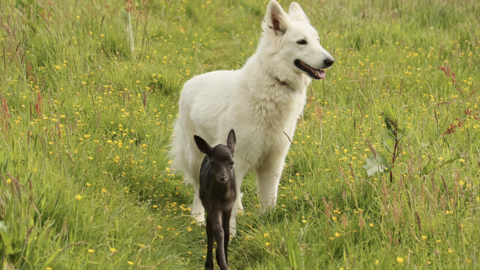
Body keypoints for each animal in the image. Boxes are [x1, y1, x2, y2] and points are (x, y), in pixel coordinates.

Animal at [170, 0, 334, 234]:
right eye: (302, 42)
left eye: (317, 40)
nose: (330, 61)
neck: (274, 82)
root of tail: (191, 81)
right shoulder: (237, 160)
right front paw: (230, 234)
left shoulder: (273, 163)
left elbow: (269, 201)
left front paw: (268, 229)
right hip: (195, 157)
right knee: (198, 191)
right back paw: (198, 219)